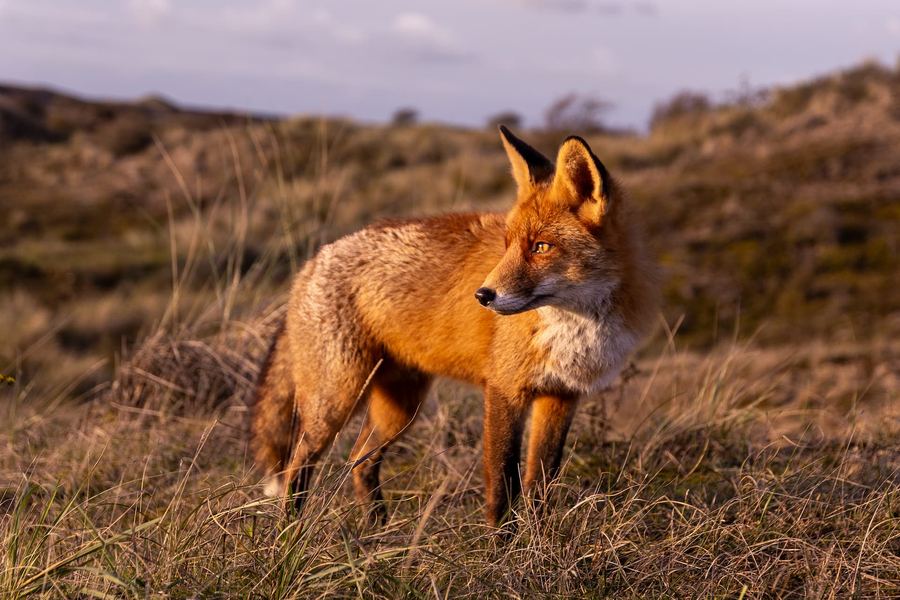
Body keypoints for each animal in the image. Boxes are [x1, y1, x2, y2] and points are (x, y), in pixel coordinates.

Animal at [250, 126, 657, 527]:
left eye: (541, 246)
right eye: (507, 244)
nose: (483, 295)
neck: (576, 325)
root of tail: (313, 260)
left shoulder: (561, 396)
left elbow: (541, 486)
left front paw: (540, 541)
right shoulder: (504, 389)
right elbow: (503, 486)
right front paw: (502, 545)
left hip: (400, 409)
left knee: (359, 461)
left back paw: (376, 535)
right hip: (337, 398)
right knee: (298, 463)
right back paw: (289, 532)